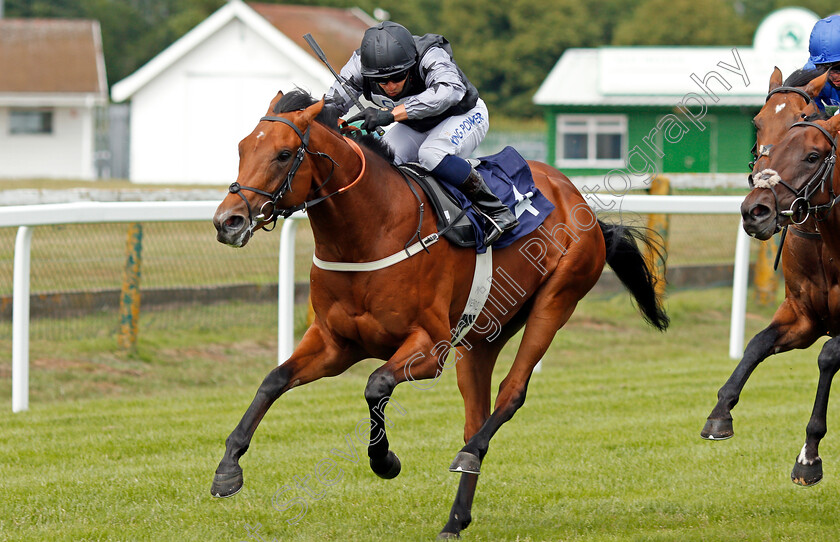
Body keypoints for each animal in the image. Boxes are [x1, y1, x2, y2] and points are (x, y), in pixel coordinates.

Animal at [212, 90, 668, 540]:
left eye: (284, 154)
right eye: (241, 148)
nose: (227, 222)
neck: (370, 232)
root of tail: (576, 196)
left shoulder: (430, 348)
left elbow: (376, 385)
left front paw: (385, 460)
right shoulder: (334, 344)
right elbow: (273, 381)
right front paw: (227, 469)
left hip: (556, 300)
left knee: (512, 393)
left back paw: (468, 455)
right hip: (485, 335)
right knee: (476, 415)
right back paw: (455, 518)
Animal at [704, 66, 840, 486]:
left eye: (813, 155)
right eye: (758, 123)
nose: (755, 210)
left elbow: (828, 356)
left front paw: (809, 457)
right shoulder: (804, 316)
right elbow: (756, 345)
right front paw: (720, 414)